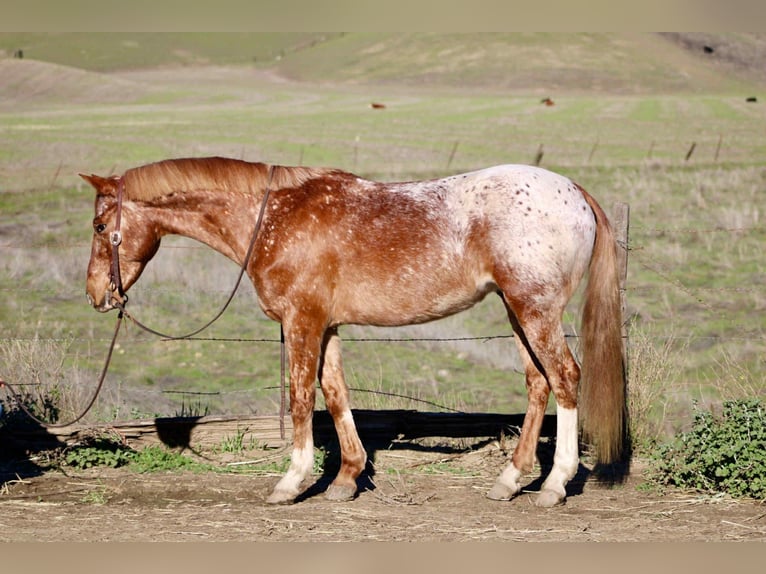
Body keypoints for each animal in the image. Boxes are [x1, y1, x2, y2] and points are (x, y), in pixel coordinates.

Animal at [81, 156, 626, 508]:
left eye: (98, 226)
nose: (96, 294)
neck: (274, 217)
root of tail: (575, 192)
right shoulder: (327, 325)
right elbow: (336, 393)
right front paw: (347, 477)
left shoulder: (302, 321)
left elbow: (302, 397)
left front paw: (292, 482)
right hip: (517, 311)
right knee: (538, 383)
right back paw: (510, 480)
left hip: (535, 309)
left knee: (565, 378)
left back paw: (554, 485)